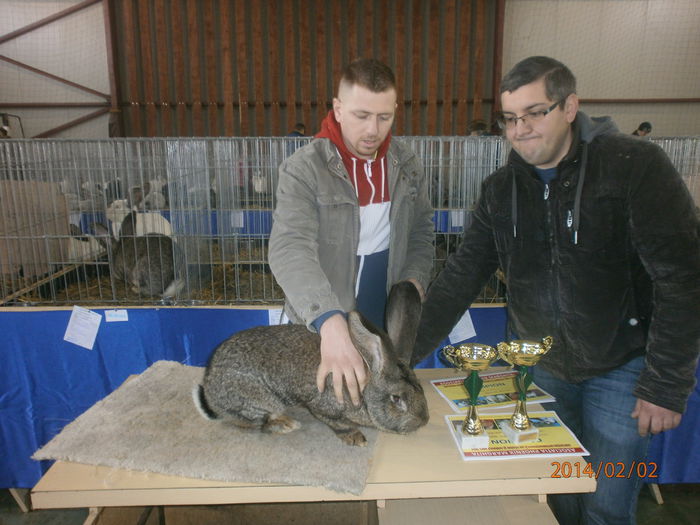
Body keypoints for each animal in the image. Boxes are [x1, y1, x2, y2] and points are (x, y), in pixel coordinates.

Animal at [194, 280, 430, 444]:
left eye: (420, 389)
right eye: (396, 399)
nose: (424, 421)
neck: (364, 389)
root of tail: (211, 395)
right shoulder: (321, 406)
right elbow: (336, 422)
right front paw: (355, 437)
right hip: (258, 400)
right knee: (256, 422)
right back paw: (286, 425)